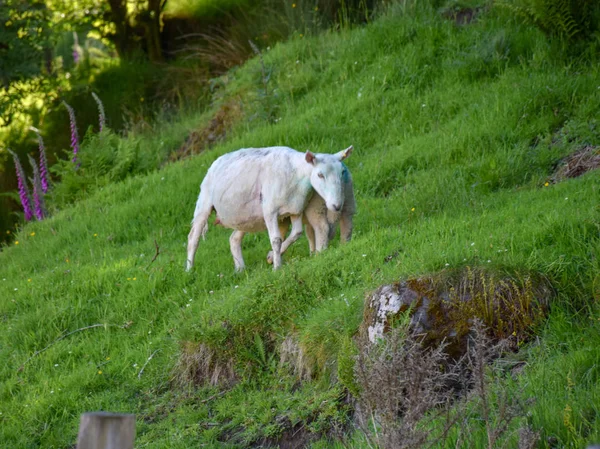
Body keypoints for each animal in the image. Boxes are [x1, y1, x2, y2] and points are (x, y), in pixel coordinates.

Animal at [184, 145, 352, 270]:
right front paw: (277, 267)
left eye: (342, 172)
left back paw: (240, 269)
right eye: (320, 175)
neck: (296, 173)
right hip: (204, 202)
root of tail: (217, 161)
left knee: (234, 238)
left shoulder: (295, 208)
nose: (337, 205)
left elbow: (296, 233)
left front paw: (271, 257)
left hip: (246, 217)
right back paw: (189, 270)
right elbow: (276, 240)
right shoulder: (270, 211)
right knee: (193, 238)